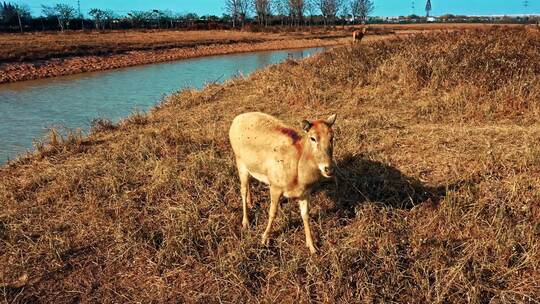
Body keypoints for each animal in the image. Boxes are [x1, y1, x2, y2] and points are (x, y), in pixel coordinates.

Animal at [229, 112, 338, 254]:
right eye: (313, 138)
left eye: (332, 137)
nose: (329, 169)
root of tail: (237, 118)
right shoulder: (275, 186)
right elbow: (272, 212)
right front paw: (264, 238)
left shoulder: (305, 193)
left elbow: (305, 215)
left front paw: (312, 246)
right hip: (240, 162)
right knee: (242, 190)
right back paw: (246, 222)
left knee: (248, 184)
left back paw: (251, 202)